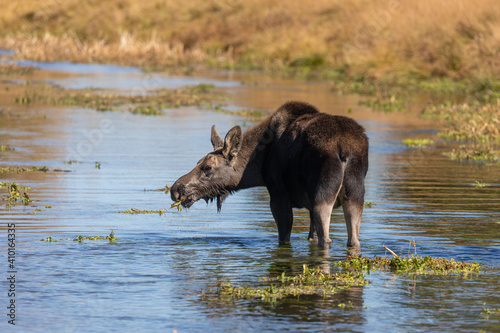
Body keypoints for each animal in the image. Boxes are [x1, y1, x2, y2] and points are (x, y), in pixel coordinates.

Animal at [170, 100, 370, 248]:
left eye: (207, 167)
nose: (176, 190)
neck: (258, 165)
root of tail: (344, 148)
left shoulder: (278, 195)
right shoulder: (309, 206)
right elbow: (311, 237)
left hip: (323, 194)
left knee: (326, 240)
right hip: (355, 195)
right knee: (353, 240)